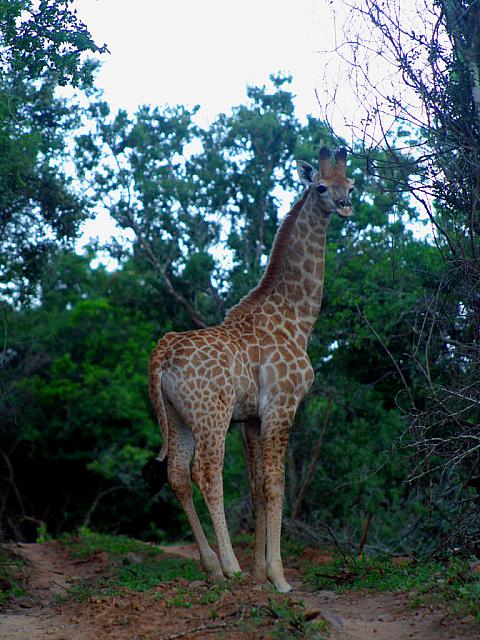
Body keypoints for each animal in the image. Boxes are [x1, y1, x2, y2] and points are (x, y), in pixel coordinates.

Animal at [143, 147, 354, 592]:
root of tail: (161, 356)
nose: (345, 204)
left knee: (177, 474)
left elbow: (258, 487)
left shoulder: (252, 418)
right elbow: (275, 485)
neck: (297, 320)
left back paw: (210, 564)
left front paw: (261, 574)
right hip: (211, 414)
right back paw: (229, 566)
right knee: (207, 473)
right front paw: (278, 577)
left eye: (351, 183)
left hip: (176, 416)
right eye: (320, 186)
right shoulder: (281, 406)